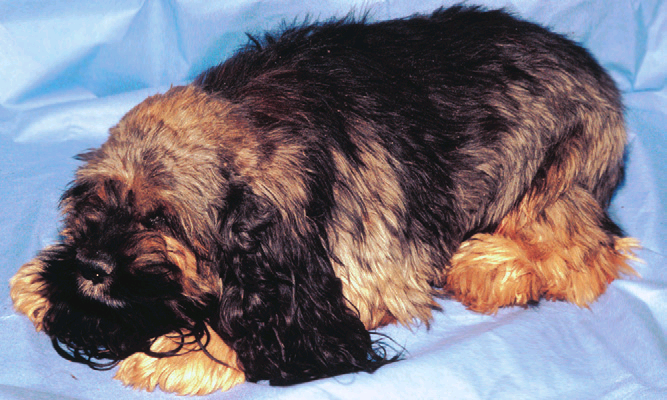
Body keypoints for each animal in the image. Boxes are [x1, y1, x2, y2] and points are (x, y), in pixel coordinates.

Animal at [10, 5, 639, 395]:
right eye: (94, 203)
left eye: (162, 221)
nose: (89, 268)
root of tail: (597, 73)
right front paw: (39, 282)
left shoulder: (366, 274)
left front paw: (186, 352)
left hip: (555, 177)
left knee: (586, 253)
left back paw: (492, 265)